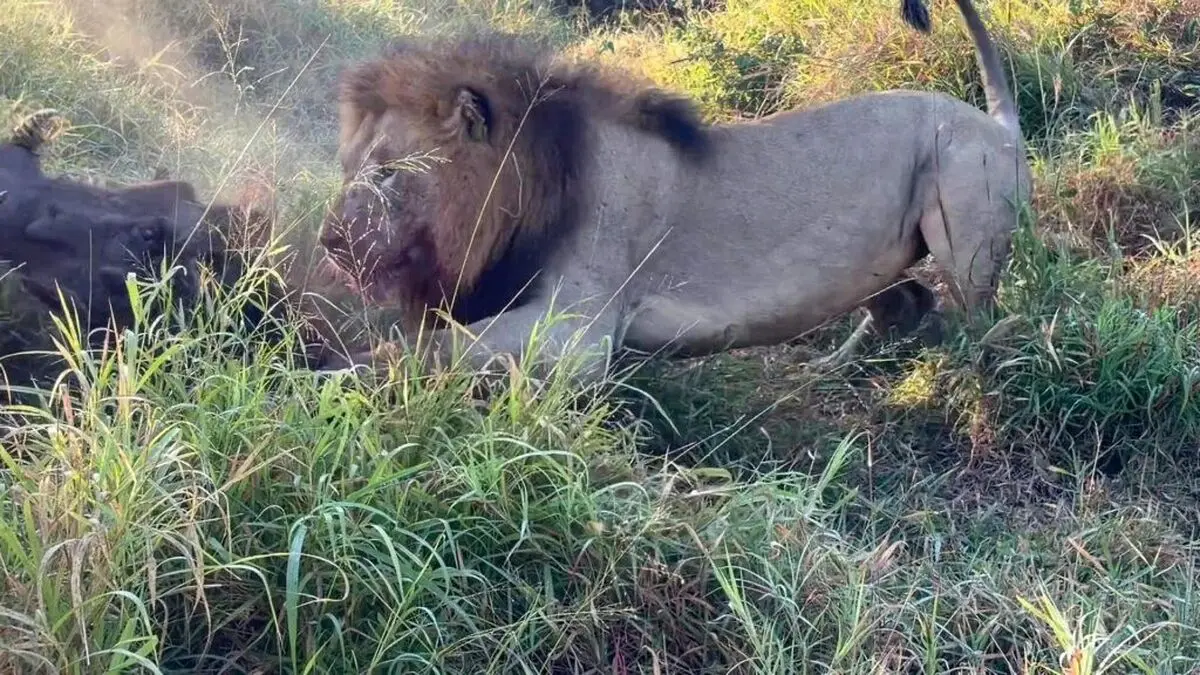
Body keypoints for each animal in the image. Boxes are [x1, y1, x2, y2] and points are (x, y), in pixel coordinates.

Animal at [317, 0, 1030, 383]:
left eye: (387, 171)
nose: (327, 242)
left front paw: (326, 372)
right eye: (348, 165)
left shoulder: (579, 332)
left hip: (963, 216)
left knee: (977, 317)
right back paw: (832, 366)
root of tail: (997, 123)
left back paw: (973, 364)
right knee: (903, 303)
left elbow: (429, 348)